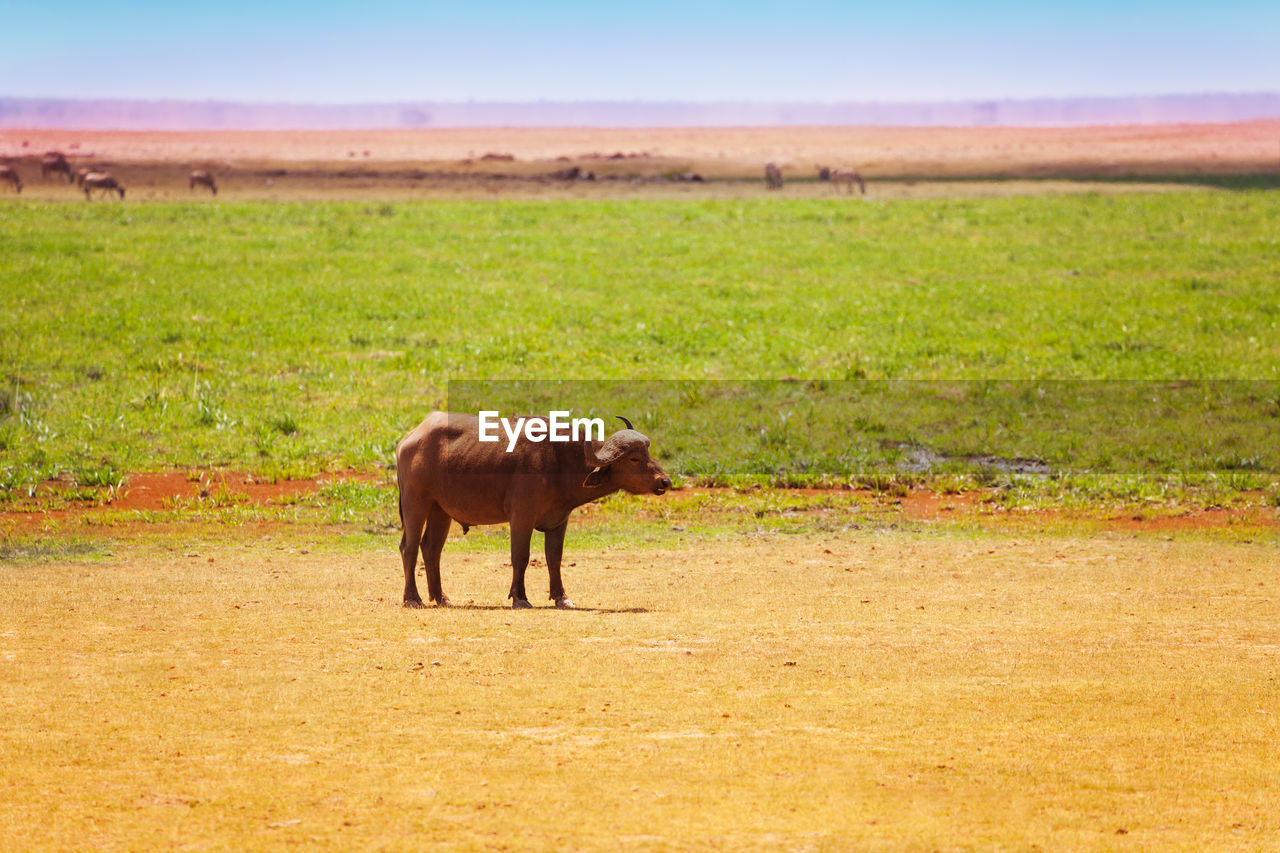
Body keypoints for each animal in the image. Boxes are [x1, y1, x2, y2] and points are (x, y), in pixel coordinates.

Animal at [394, 409, 670, 604]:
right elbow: (521, 556)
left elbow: (554, 558)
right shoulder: (521, 517)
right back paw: (413, 598)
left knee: (431, 549)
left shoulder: (559, 520)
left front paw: (561, 597)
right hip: (415, 502)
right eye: (634, 458)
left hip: (441, 510)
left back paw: (441, 598)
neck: (559, 462)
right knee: (409, 547)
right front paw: (519, 597)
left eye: (648, 454)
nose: (664, 481)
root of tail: (408, 439)